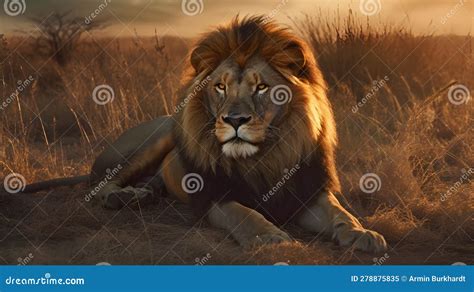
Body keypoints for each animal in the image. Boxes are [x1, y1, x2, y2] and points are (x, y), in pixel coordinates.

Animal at [20, 16, 386, 253]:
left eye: (262, 87)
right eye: (220, 87)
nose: (235, 119)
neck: (262, 157)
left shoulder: (307, 192)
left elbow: (340, 213)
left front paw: (363, 233)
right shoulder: (214, 195)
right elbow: (244, 214)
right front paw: (269, 237)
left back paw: (146, 193)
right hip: (158, 135)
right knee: (99, 186)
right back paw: (123, 196)